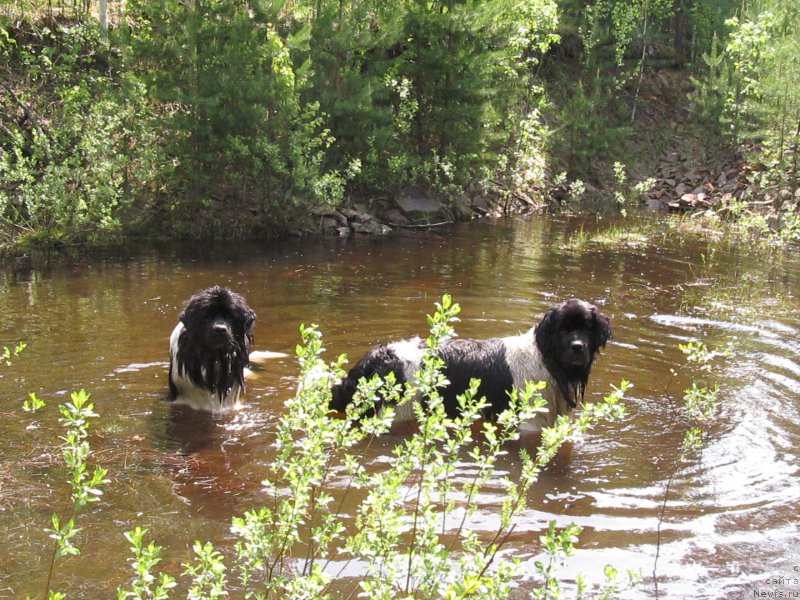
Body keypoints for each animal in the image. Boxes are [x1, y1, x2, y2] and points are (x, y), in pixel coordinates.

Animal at [332, 298, 612, 432]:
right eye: (563, 329)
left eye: (586, 328)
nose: (578, 346)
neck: (544, 358)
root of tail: (376, 356)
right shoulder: (530, 423)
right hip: (397, 411)